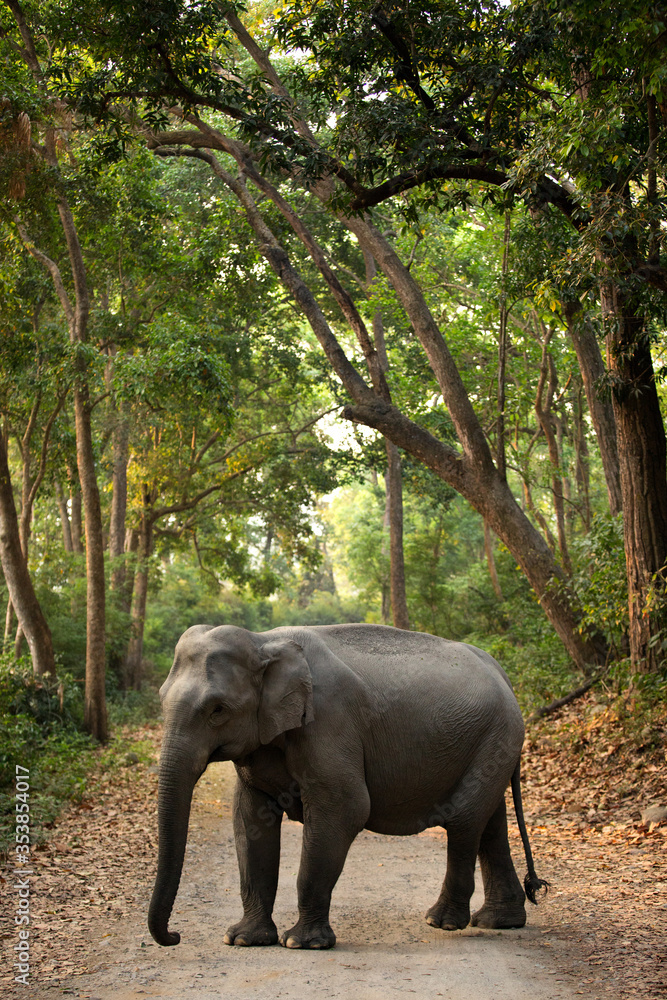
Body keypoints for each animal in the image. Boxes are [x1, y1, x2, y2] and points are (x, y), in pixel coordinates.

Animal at [148, 622, 547, 950]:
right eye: (161, 699)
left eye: (217, 710)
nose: (175, 935)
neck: (264, 641)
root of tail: (500, 670)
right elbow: (250, 820)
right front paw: (245, 939)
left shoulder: (330, 722)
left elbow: (346, 807)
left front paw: (302, 943)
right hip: (493, 743)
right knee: (490, 823)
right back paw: (498, 921)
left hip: (498, 735)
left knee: (464, 820)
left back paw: (442, 921)